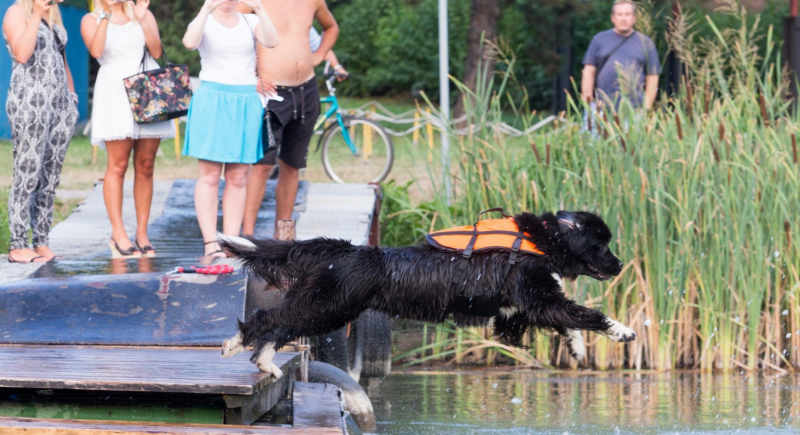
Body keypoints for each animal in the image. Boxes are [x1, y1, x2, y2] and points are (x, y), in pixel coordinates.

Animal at [220, 209, 636, 376]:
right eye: (601, 243)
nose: (619, 264)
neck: (541, 241)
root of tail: (343, 250)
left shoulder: (521, 309)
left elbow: (570, 320)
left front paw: (577, 348)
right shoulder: (536, 298)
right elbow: (587, 313)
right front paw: (623, 331)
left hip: (328, 310)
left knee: (280, 326)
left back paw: (263, 362)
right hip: (325, 307)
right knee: (268, 319)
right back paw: (238, 346)